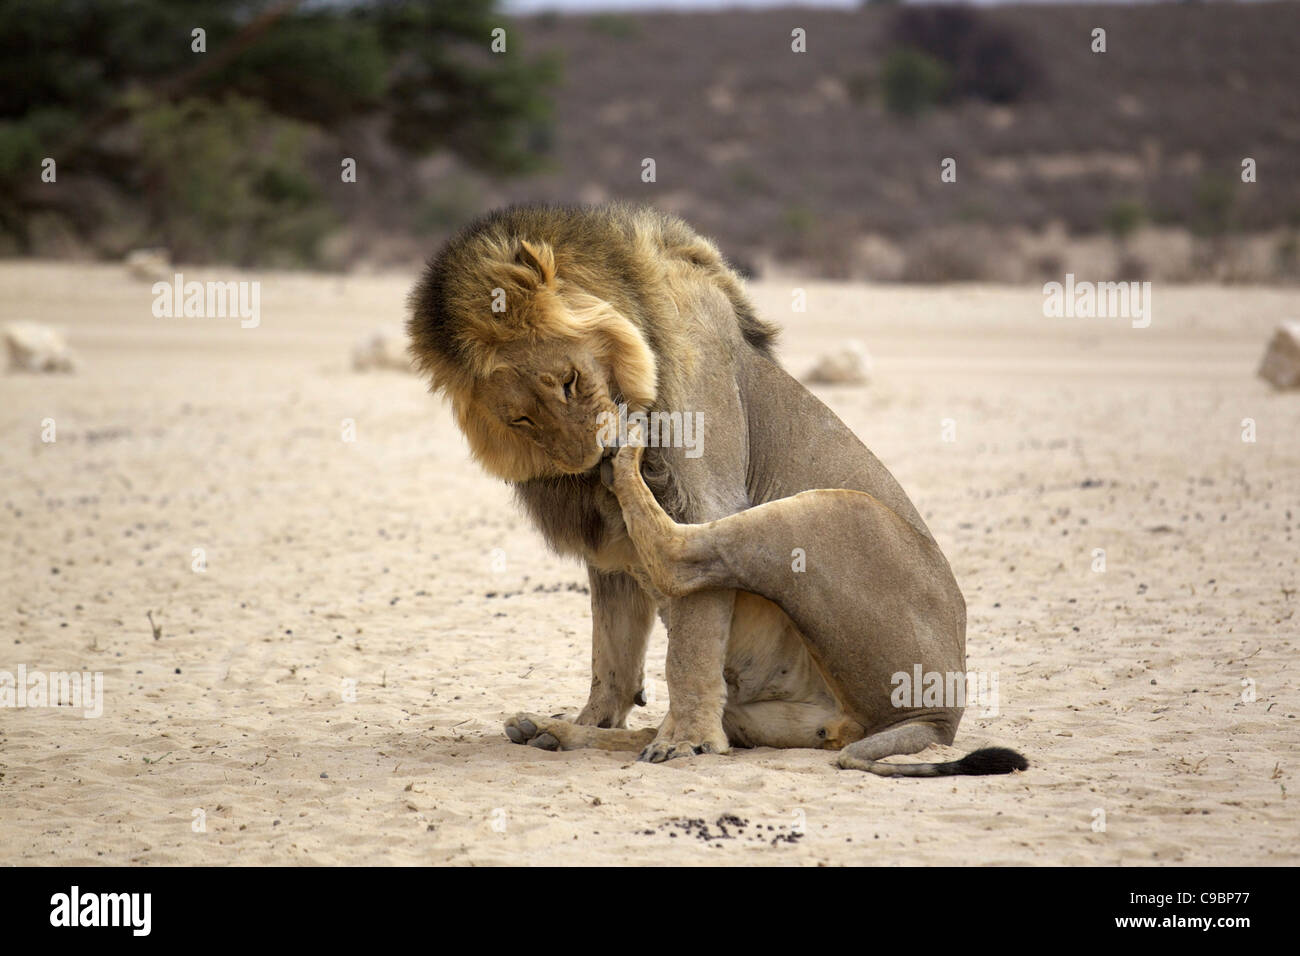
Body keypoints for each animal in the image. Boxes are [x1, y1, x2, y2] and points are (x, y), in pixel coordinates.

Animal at [407, 203, 1026, 775]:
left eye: (568, 381)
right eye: (520, 420)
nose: (593, 456)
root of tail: (936, 720)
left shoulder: (705, 497)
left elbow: (689, 647)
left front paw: (687, 742)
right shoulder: (604, 552)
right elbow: (611, 656)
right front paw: (595, 720)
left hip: (842, 513)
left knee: (679, 557)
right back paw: (551, 731)